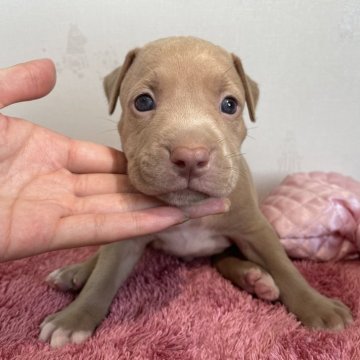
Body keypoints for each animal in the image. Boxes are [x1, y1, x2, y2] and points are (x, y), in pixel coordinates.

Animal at [38, 35, 352, 346]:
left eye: (230, 105)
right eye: (143, 101)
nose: (190, 156)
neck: (190, 208)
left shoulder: (256, 229)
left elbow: (285, 267)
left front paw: (319, 307)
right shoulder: (127, 238)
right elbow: (103, 275)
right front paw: (73, 319)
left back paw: (255, 278)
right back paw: (74, 272)